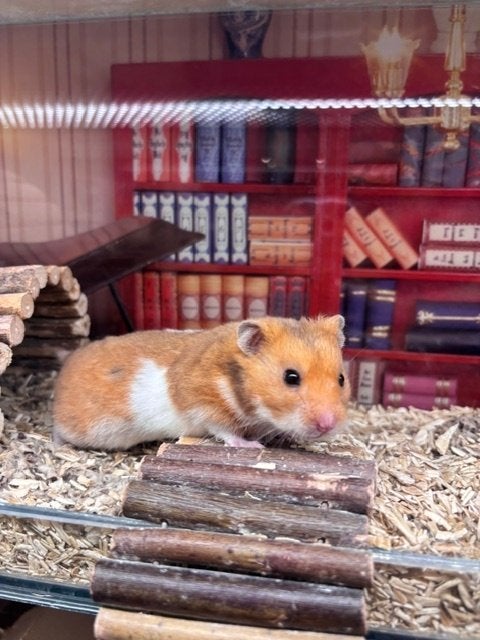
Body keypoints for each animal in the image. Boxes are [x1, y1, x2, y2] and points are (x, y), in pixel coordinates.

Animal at [53, 314, 350, 450]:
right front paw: (253, 446)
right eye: (291, 377)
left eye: (341, 378)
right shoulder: (205, 407)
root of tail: (67, 363)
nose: (328, 426)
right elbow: (225, 431)